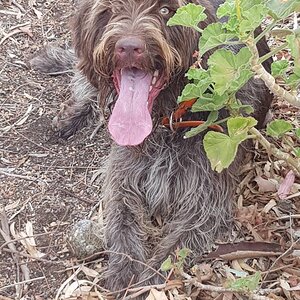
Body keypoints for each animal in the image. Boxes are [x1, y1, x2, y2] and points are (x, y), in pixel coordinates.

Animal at [31, 0, 274, 296]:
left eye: (166, 11)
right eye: (110, 10)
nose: (128, 46)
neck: (168, 120)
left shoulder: (206, 202)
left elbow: (174, 250)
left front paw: (150, 279)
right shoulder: (122, 179)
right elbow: (121, 222)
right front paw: (125, 270)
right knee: (88, 85)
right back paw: (72, 115)